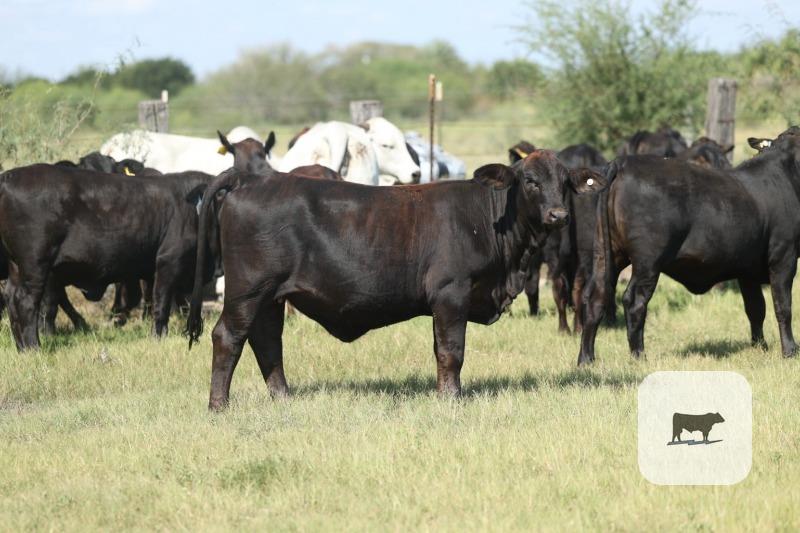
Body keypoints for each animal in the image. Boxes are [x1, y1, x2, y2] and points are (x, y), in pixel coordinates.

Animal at [0, 165, 215, 350]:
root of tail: (9, 176)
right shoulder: (169, 261)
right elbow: (162, 303)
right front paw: (158, 338)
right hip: (35, 263)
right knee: (25, 300)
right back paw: (33, 348)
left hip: (17, 265)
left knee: (11, 297)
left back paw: (22, 348)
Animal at [185, 151, 606, 410]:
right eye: (530, 180)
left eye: (565, 182)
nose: (558, 215)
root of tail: (251, 179)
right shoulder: (451, 294)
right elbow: (451, 352)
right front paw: (451, 399)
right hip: (248, 290)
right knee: (228, 337)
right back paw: (218, 406)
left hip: (271, 296)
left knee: (268, 342)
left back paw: (283, 398)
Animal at [577, 126, 800, 365]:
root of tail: (622, 163)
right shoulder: (784, 258)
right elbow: (783, 306)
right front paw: (790, 350)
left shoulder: (747, 269)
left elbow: (756, 309)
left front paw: (760, 347)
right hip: (647, 263)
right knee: (634, 301)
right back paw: (639, 356)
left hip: (605, 254)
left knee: (596, 297)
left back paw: (586, 359)